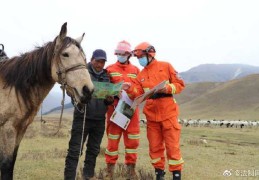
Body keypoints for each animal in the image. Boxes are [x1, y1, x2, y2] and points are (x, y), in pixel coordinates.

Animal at [0, 22, 95, 180]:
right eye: (65, 54)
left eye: (84, 57)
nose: (88, 90)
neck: (12, 88)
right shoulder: (8, 130)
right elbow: (6, 166)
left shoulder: (20, 129)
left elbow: (11, 162)